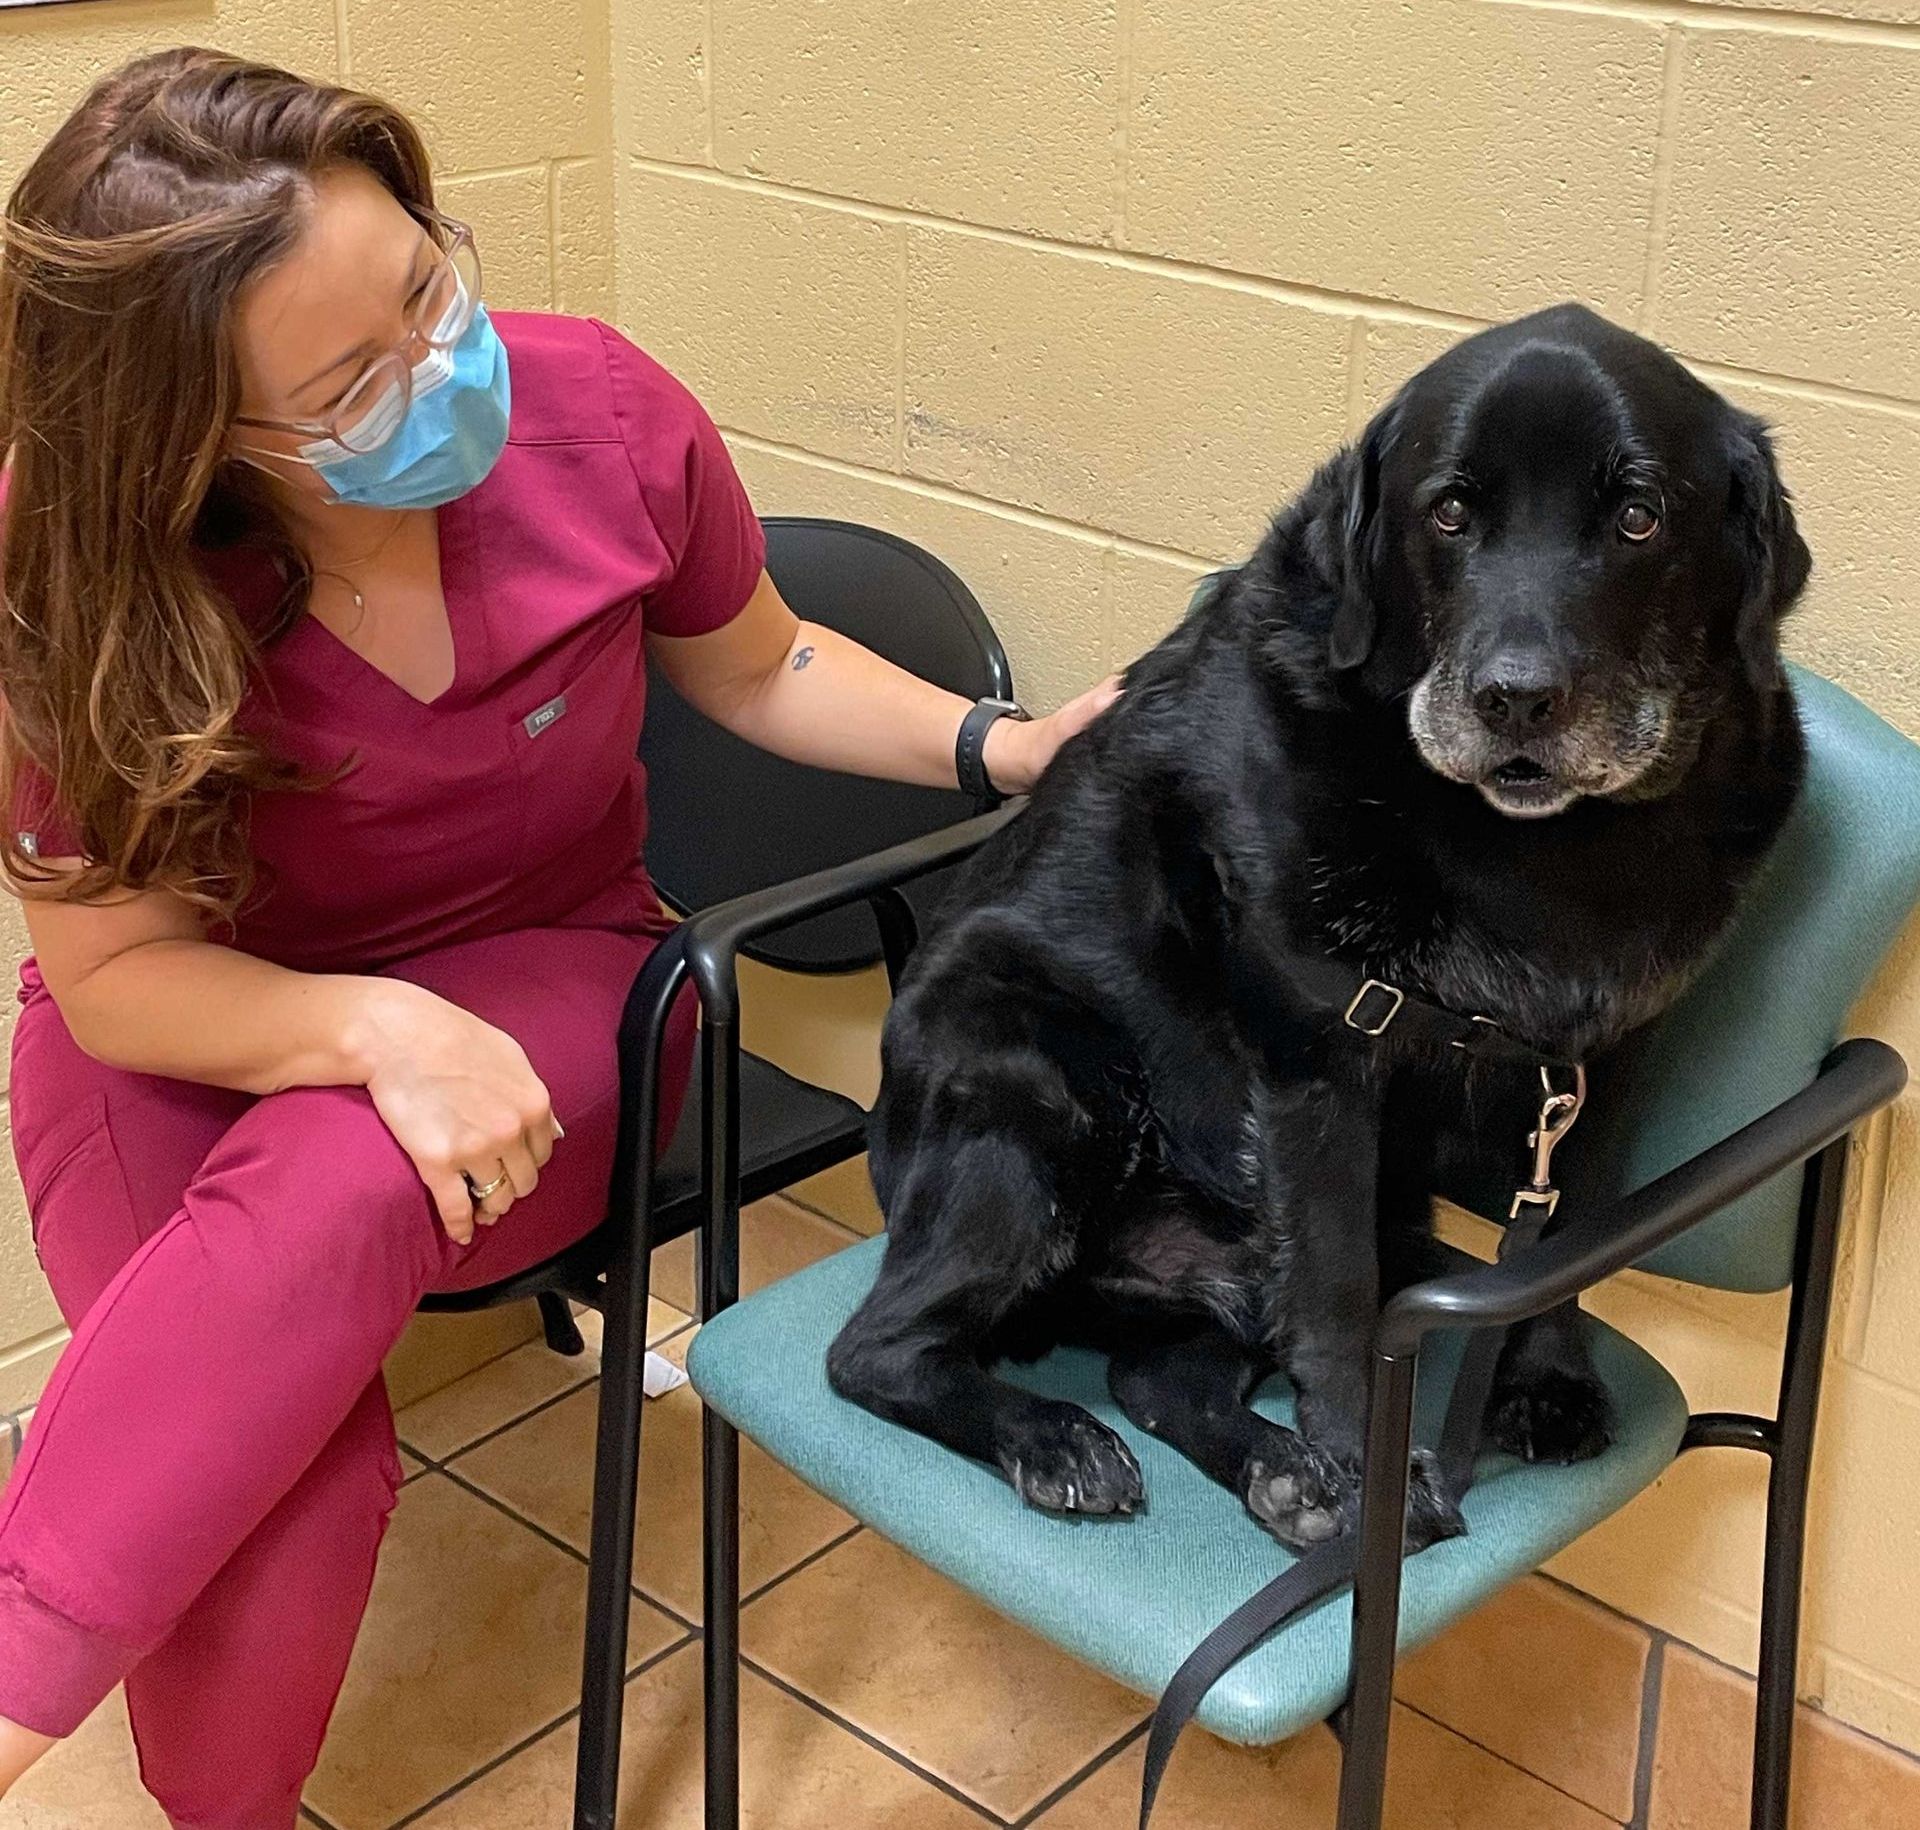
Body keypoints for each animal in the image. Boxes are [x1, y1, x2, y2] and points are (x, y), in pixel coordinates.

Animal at [829, 307, 1812, 1551]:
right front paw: (1360, 1462)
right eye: (1449, 512)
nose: (1516, 698)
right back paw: (1059, 1439)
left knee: (1161, 1378)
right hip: (1041, 1084)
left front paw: (1543, 1382)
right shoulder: (1321, 1060)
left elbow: (1569, 1233)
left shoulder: (1598, 1069)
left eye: (1640, 516)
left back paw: (1275, 1471)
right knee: (876, 1349)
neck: (1537, 853)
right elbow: (1340, 1295)